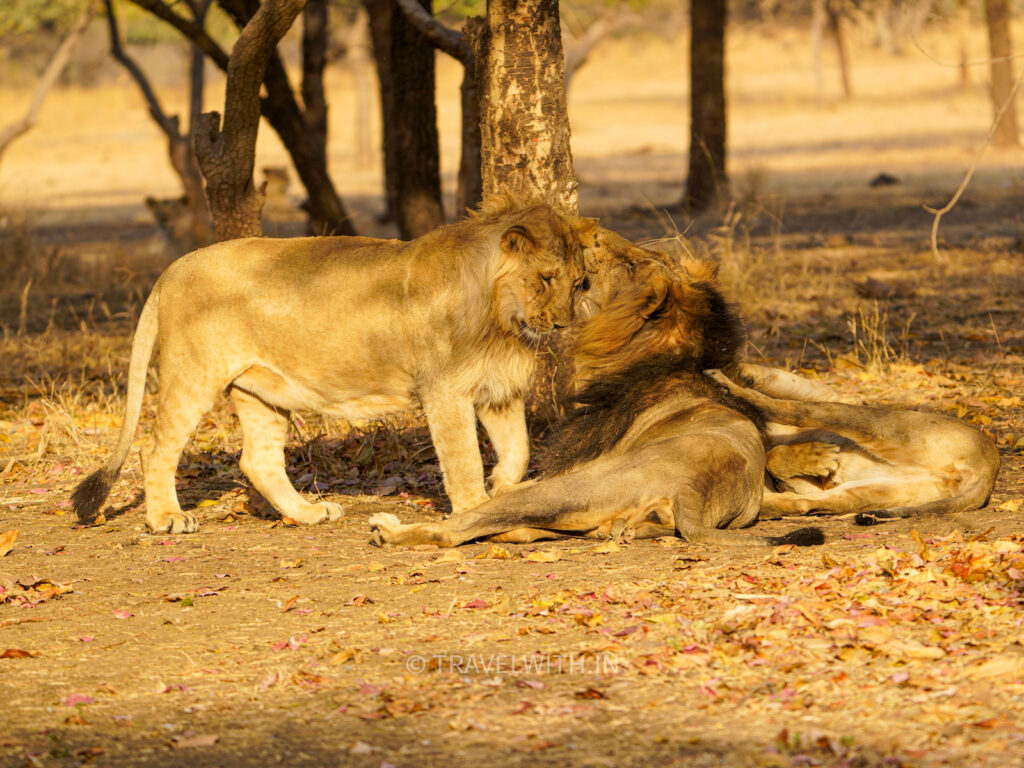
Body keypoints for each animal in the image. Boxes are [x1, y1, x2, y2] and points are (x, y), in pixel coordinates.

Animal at [72, 198, 598, 536]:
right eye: (545, 278)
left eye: (580, 283)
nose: (563, 324)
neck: (499, 319)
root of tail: (173, 267)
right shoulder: (445, 390)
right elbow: (463, 457)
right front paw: (474, 508)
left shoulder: (497, 388)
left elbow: (519, 451)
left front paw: (502, 488)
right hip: (194, 376)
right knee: (153, 449)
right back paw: (167, 519)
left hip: (261, 391)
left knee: (258, 460)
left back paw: (307, 514)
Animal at [368, 249, 823, 548]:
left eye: (633, 264)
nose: (594, 244)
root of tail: (696, 487)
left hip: (575, 486)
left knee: (460, 528)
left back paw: (389, 531)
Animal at [704, 364, 999, 524]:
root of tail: (990, 467)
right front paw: (822, 460)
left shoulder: (823, 394)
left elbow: (790, 384)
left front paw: (747, 372)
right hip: (874, 491)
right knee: (804, 503)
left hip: (873, 419)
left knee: (795, 410)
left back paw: (726, 383)